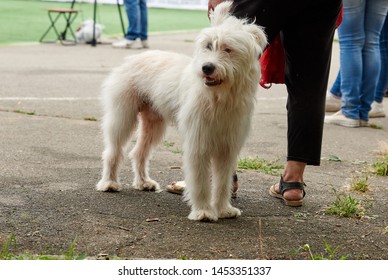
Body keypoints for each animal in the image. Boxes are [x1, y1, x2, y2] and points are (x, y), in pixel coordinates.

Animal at [96, 1, 266, 221]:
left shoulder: (227, 148)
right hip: (122, 117)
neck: (219, 98)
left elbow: (222, 183)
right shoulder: (198, 145)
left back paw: (143, 182)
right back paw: (109, 183)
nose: (207, 67)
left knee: (139, 153)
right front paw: (203, 211)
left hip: (154, 125)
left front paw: (223, 209)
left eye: (228, 49)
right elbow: (201, 182)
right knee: (113, 151)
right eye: (208, 45)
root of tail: (132, 58)